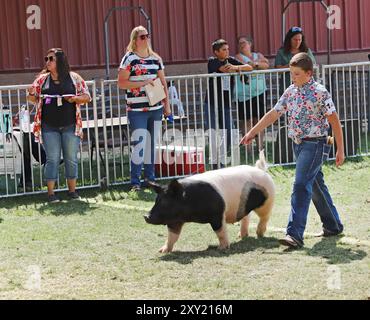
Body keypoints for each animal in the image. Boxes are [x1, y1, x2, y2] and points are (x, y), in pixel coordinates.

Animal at [145, 151, 274, 254]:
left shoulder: (217, 214)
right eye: (156, 200)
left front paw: (222, 248)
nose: (146, 216)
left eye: (165, 202)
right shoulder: (175, 221)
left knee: (265, 217)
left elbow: (220, 231)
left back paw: (259, 234)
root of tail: (260, 169)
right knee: (246, 217)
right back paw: (241, 236)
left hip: (267, 201)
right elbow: (172, 236)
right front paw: (162, 251)